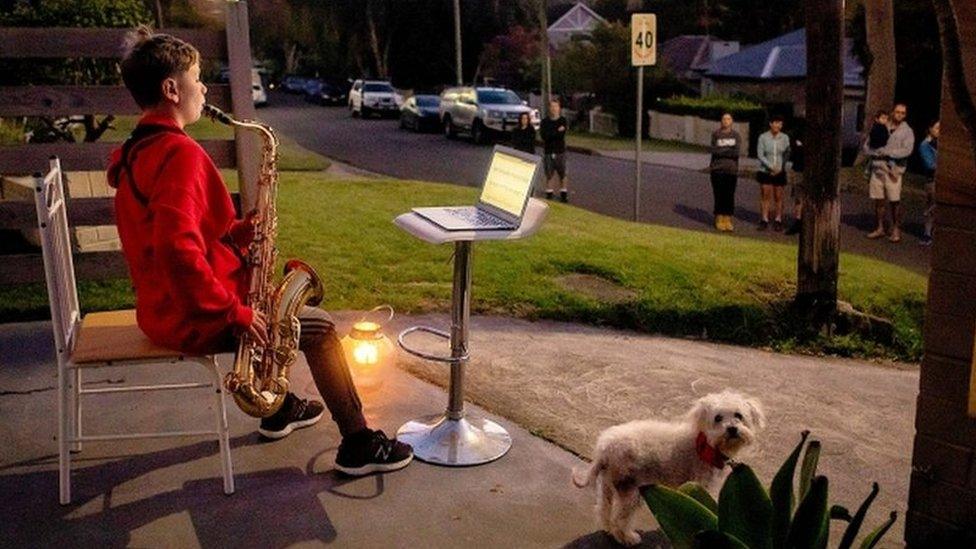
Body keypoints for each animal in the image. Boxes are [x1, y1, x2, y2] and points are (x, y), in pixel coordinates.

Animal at [568, 390, 768, 544]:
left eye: (738, 415)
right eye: (718, 418)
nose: (732, 429)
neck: (706, 445)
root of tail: (605, 448)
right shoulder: (699, 485)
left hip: (608, 485)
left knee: (603, 511)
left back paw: (610, 530)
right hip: (630, 490)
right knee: (620, 518)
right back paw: (627, 538)